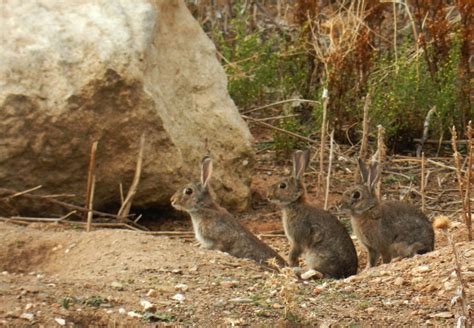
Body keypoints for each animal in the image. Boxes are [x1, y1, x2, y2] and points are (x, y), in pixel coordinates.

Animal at [268, 150, 358, 278]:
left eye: (283, 186)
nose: (268, 196)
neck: (295, 204)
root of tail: (348, 273)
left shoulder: (297, 239)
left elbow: (294, 253)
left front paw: (291, 264)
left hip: (315, 255)